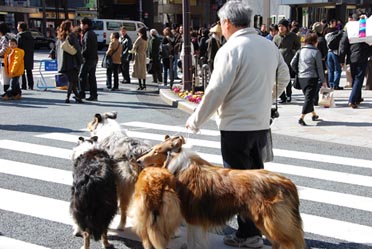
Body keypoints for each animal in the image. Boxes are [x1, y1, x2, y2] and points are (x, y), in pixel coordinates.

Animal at [137, 136, 306, 249]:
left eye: (157, 151)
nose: (138, 160)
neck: (177, 164)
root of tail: (288, 183)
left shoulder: (192, 215)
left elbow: (192, 240)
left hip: (272, 222)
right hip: (267, 223)